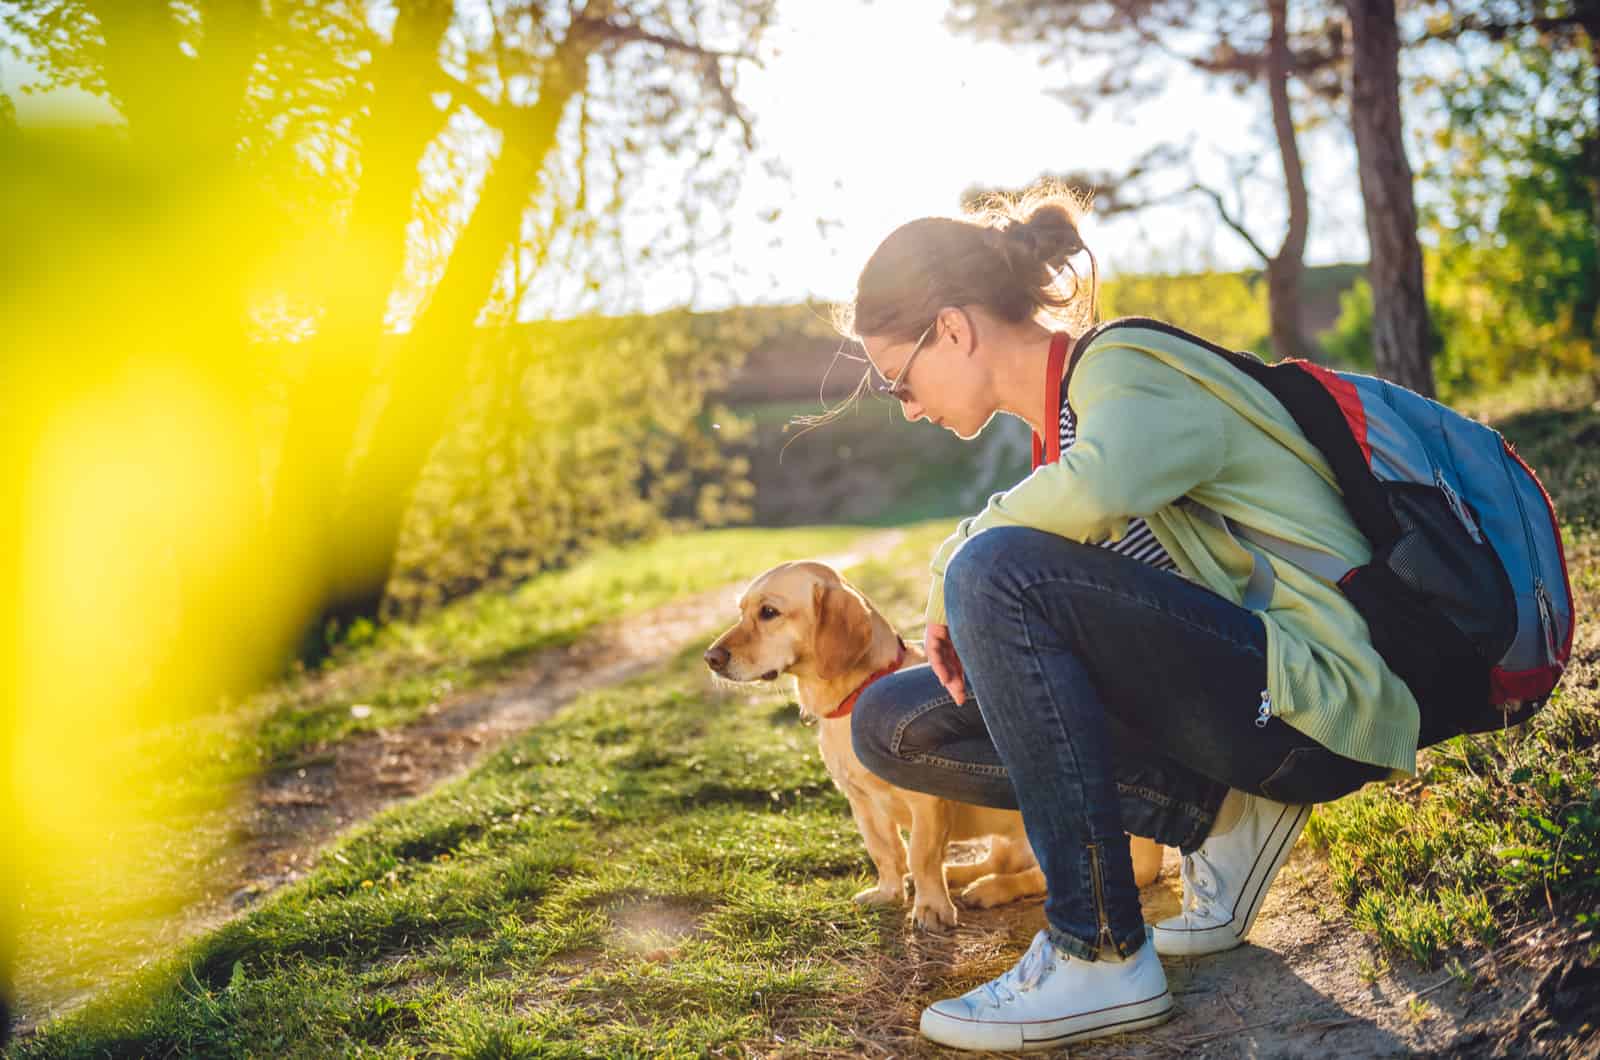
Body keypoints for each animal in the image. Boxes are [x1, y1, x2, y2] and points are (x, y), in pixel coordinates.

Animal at [704, 560, 1164, 935]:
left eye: (769, 612)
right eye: (741, 610)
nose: (711, 658)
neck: (853, 698)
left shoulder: (924, 802)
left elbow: (920, 857)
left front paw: (930, 909)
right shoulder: (861, 803)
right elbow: (886, 853)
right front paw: (889, 892)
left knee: (1042, 877)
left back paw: (987, 889)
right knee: (1001, 860)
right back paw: (962, 875)